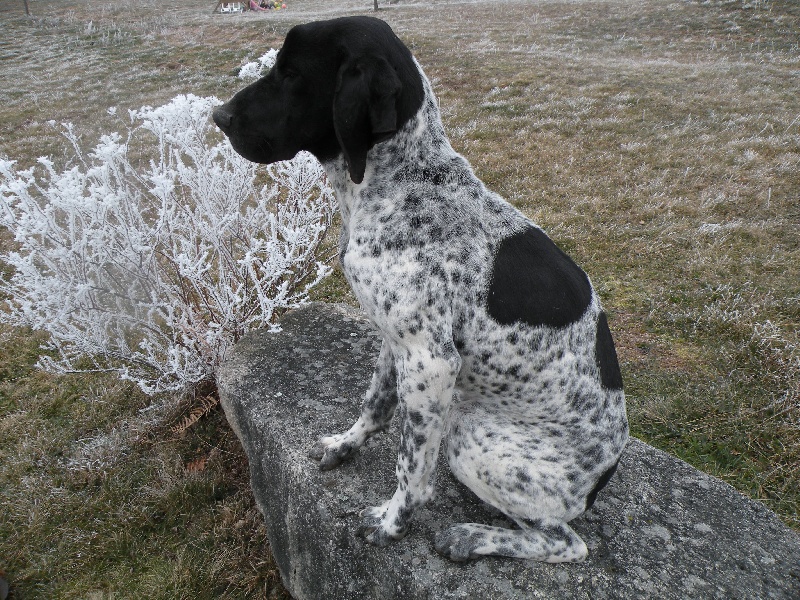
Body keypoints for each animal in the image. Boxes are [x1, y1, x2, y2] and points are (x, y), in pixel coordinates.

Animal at [214, 17, 632, 564]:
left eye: (290, 73)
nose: (218, 116)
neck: (403, 181)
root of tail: (599, 482)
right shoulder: (395, 342)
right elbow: (374, 405)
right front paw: (346, 445)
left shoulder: (430, 362)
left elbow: (410, 469)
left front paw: (393, 523)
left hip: (471, 441)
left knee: (566, 543)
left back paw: (472, 537)